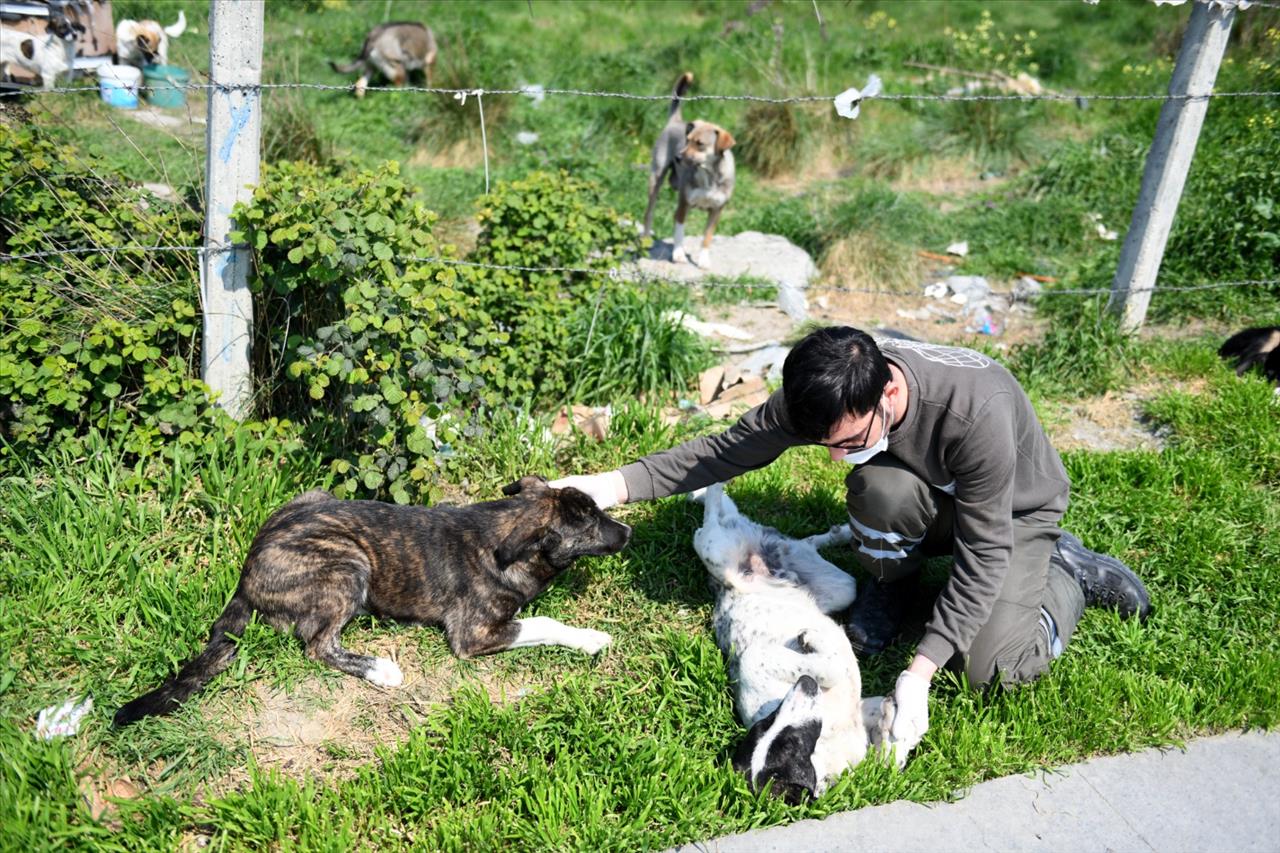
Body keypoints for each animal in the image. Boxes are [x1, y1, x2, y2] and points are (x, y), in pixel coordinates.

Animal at [112, 471, 632, 722]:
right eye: (590, 522)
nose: (627, 531)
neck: (504, 533)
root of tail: (248, 568)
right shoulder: (474, 633)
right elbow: (543, 622)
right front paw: (591, 639)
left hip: (316, 495)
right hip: (348, 565)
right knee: (317, 645)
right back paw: (380, 669)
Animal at [640, 71, 742, 267]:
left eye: (700, 144)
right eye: (686, 140)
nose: (677, 157)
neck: (708, 175)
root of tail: (676, 121)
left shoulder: (717, 210)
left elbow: (707, 237)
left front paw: (703, 260)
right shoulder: (684, 204)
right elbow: (679, 231)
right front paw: (678, 254)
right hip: (655, 179)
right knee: (649, 213)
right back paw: (646, 240)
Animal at [691, 481, 901, 799]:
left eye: (788, 742)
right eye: (768, 722)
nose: (805, 683)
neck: (826, 748)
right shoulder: (755, 660)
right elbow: (834, 669)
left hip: (837, 584)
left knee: (796, 538)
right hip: (717, 548)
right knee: (707, 523)